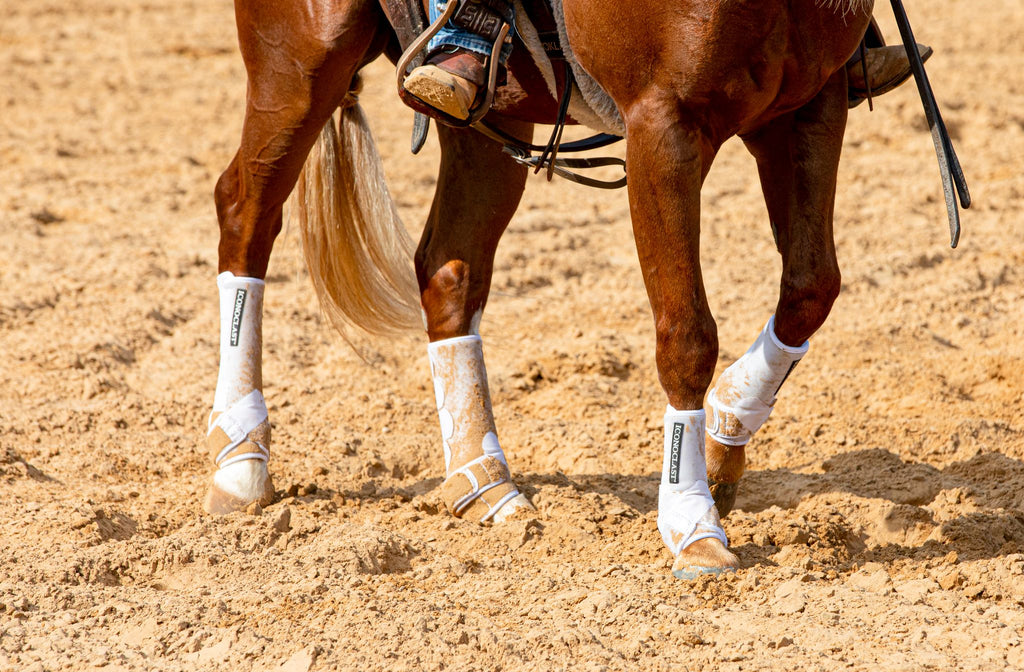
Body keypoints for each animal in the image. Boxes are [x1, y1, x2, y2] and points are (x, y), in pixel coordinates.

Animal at [207, 0, 872, 577]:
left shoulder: (809, 105)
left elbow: (811, 290)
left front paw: (724, 438)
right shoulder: (665, 123)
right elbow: (687, 335)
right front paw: (693, 524)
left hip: (488, 114)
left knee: (449, 269)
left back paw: (485, 482)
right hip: (300, 61)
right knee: (246, 211)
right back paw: (239, 457)